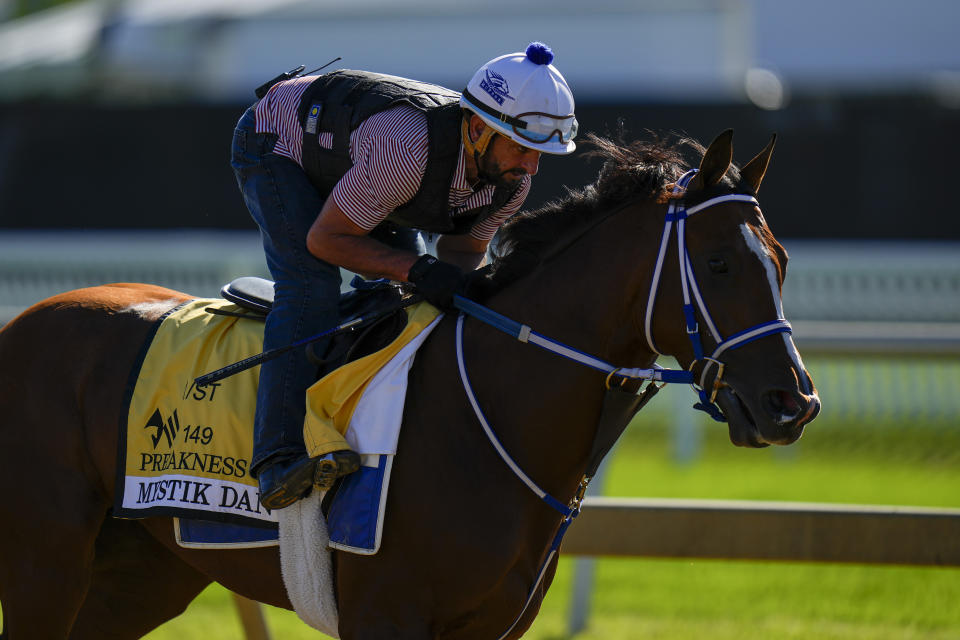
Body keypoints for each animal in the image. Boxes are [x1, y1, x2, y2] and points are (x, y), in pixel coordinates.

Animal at [0, 131, 820, 640]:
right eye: (718, 263)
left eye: (780, 262)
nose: (793, 403)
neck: (488, 416)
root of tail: (20, 325)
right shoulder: (386, 617)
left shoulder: (490, 626)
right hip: (45, 558)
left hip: (141, 572)